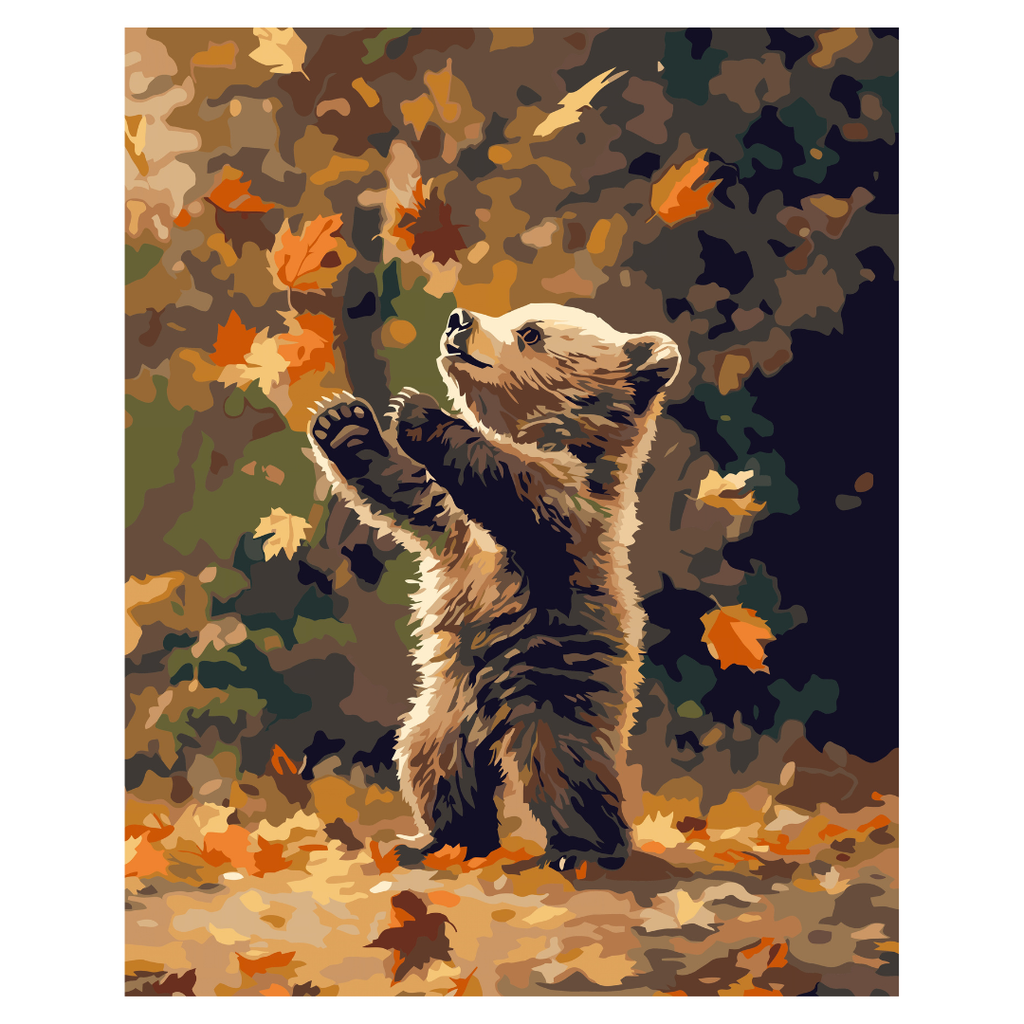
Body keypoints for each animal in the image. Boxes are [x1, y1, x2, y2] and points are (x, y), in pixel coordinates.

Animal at [307, 303, 680, 871]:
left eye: (531, 333)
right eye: (515, 314)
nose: (458, 320)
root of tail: (496, 722)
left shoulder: (571, 516)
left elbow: (519, 491)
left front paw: (420, 413)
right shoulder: (454, 527)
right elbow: (407, 491)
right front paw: (344, 422)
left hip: (555, 680)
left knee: (565, 767)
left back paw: (585, 849)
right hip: (449, 703)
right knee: (432, 763)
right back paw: (444, 839)